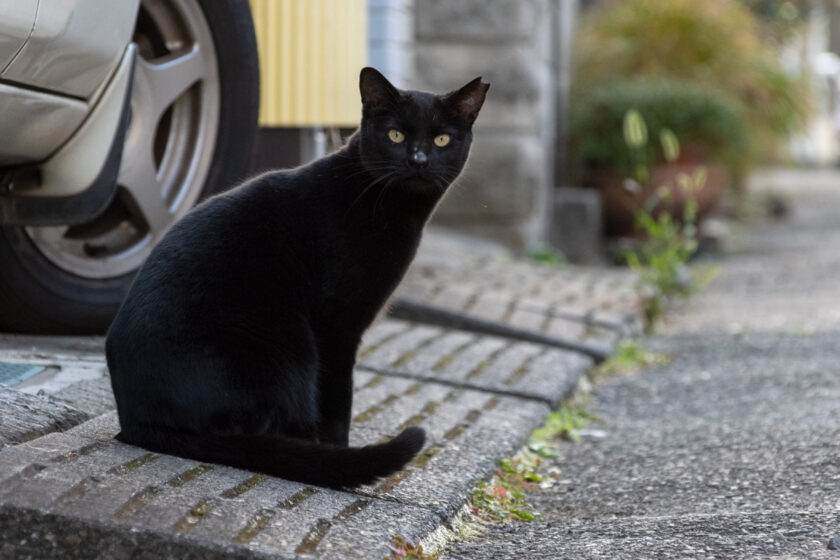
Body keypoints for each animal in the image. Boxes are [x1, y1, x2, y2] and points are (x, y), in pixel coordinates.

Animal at [106, 68, 486, 490]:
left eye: (441, 139)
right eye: (395, 135)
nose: (418, 159)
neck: (390, 208)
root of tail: (137, 420)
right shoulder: (338, 326)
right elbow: (338, 401)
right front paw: (339, 450)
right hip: (291, 348)